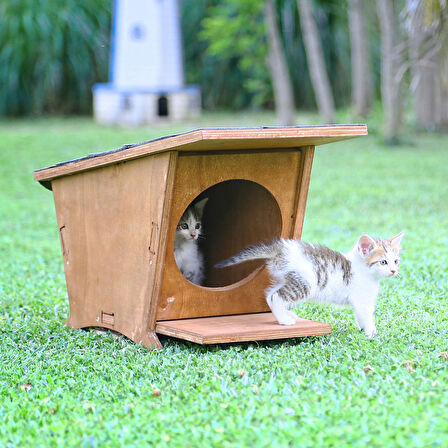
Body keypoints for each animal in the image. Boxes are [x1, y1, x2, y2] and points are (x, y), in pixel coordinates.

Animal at [216, 233, 402, 338]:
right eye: (383, 262)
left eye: (396, 261)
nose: (394, 271)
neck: (364, 270)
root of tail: (281, 250)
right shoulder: (362, 300)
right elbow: (367, 316)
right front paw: (372, 333)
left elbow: (361, 317)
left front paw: (365, 330)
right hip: (304, 283)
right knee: (276, 296)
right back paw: (284, 320)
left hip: (288, 278)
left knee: (269, 295)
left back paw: (285, 316)